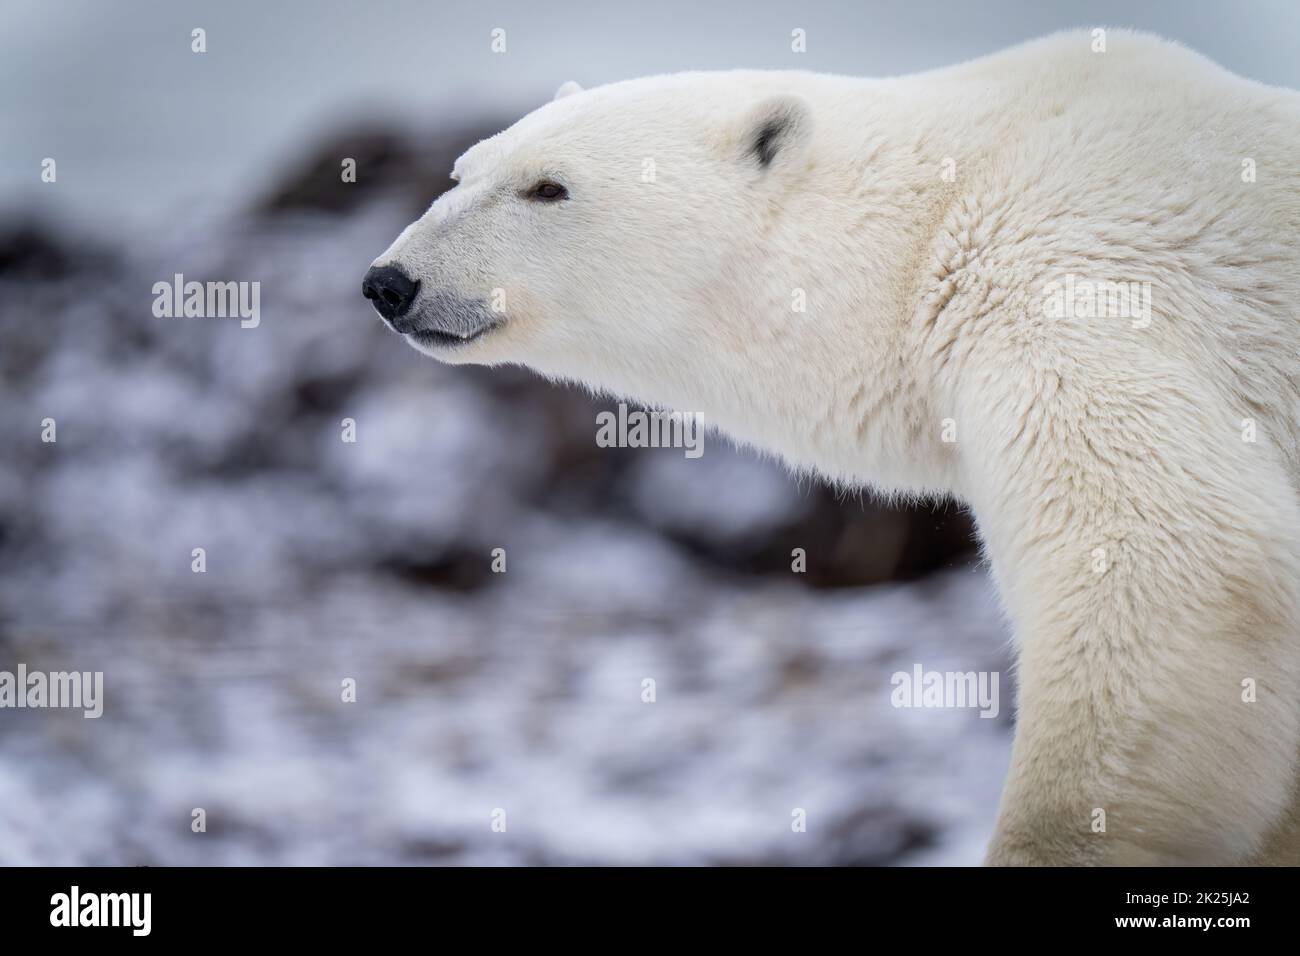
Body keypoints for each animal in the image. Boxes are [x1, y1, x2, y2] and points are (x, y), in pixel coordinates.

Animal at [363, 29, 1300, 866]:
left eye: (548, 187)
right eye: (461, 172)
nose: (389, 283)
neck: (932, 222)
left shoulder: (1076, 286)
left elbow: (1171, 570)